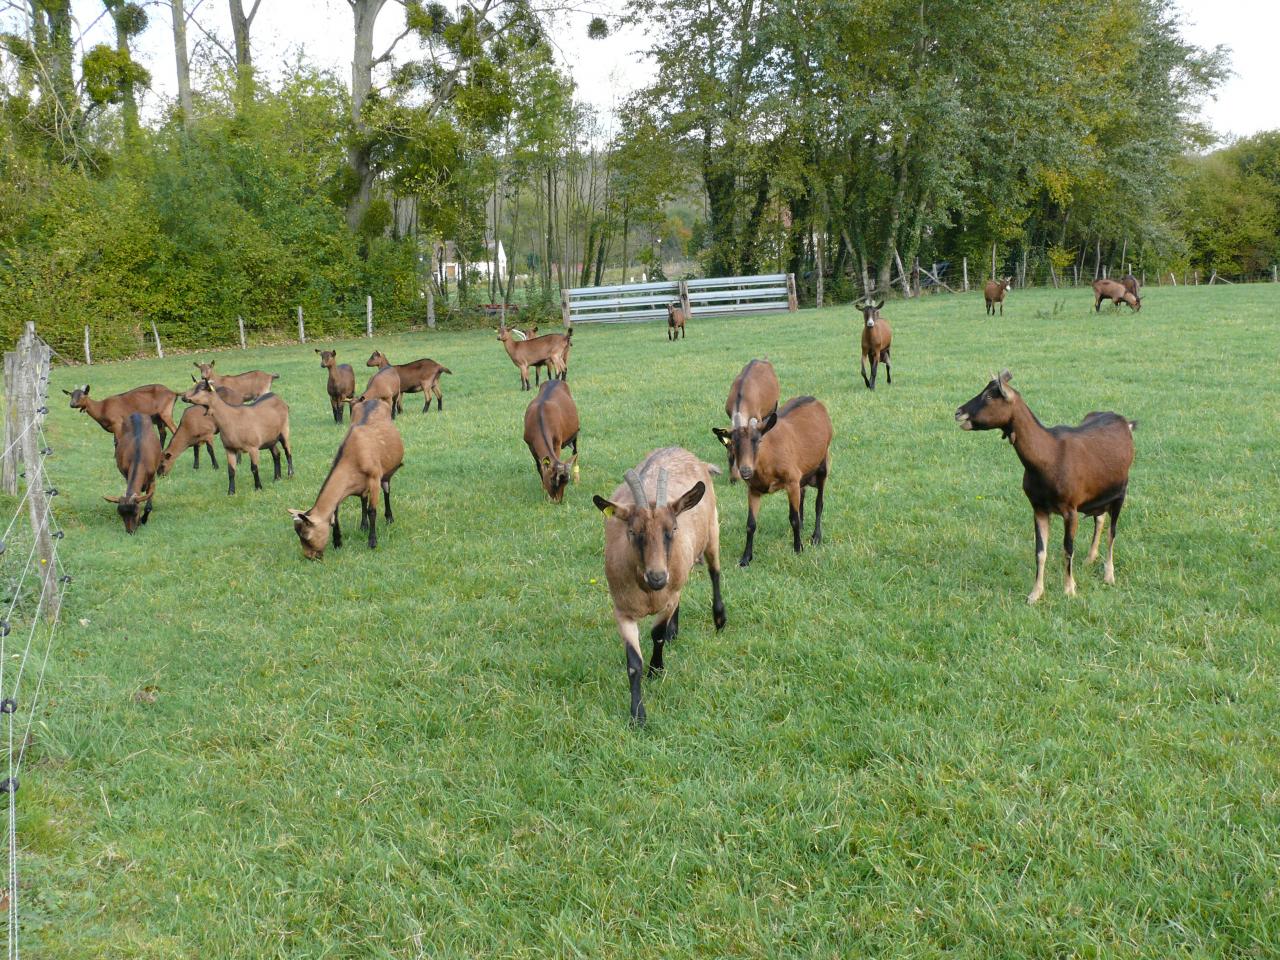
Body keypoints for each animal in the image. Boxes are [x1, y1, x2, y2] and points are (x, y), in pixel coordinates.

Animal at [290, 399, 404, 563]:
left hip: (385, 472)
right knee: (364, 498)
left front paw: (372, 542)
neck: (353, 456)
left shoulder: (374, 477)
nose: (309, 556)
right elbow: (336, 511)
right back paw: (363, 525)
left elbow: (372, 510)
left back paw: (389, 518)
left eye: (306, 536)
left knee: (386, 489)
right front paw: (337, 541)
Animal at [593, 448, 727, 727]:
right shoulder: (622, 610)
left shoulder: (668, 596)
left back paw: (719, 619)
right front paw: (638, 715)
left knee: (714, 573)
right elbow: (633, 663)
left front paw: (656, 670)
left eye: (672, 529)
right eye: (633, 532)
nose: (657, 577)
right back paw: (674, 630)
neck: (648, 594)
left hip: (712, 532)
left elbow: (656, 635)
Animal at [732, 396, 829, 568]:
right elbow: (750, 524)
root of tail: (814, 400)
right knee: (803, 495)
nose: (745, 470)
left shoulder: (791, 481)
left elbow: (794, 518)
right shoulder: (754, 490)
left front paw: (798, 549)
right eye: (733, 443)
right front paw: (745, 558)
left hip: (823, 466)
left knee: (819, 503)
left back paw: (816, 537)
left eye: (757, 440)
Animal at [952, 371, 1141, 604]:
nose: (958, 412)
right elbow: (1040, 552)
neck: (1048, 456)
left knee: (1112, 532)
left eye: (988, 396)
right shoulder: (1039, 508)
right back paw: (1090, 558)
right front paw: (1035, 594)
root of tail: (1126, 423)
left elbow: (1068, 549)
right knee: (1100, 519)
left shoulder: (1070, 509)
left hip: (1121, 492)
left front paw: (1069, 589)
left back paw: (1109, 575)